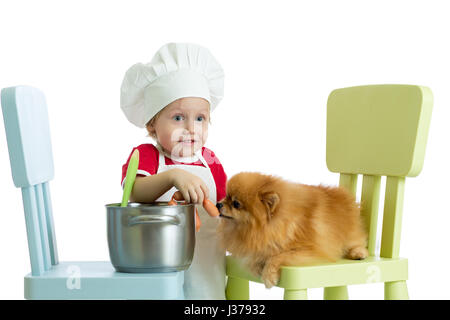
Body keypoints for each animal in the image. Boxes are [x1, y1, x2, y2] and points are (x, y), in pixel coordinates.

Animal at [216, 171, 368, 288]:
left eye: (236, 203)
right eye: (225, 196)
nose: (218, 204)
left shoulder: (309, 250)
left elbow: (278, 256)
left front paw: (269, 275)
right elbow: (254, 258)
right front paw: (257, 266)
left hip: (350, 235)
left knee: (358, 242)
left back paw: (358, 253)